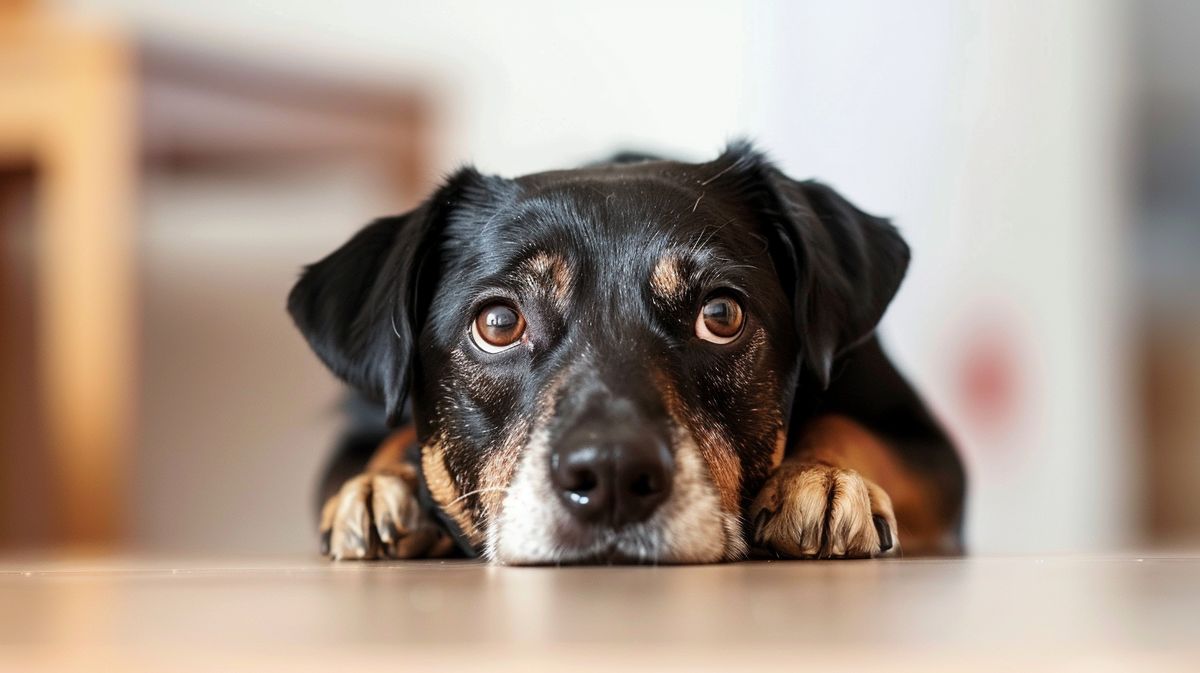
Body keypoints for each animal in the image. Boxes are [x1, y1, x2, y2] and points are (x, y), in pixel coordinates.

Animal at [288, 141, 964, 561]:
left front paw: (821, 478)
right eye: (499, 322)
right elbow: (386, 444)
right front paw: (378, 487)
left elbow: (850, 427)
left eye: (720, 315)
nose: (611, 474)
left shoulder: (935, 455)